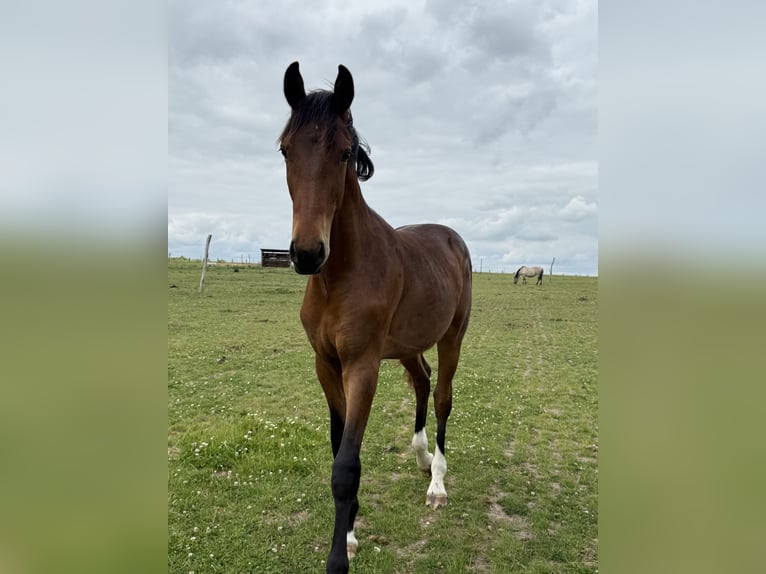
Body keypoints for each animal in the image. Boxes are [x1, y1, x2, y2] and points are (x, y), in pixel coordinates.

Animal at [278, 62, 472, 574]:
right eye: (285, 149)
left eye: (345, 152)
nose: (307, 253)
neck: (340, 274)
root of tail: (451, 238)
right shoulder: (326, 365)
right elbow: (338, 445)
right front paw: (348, 532)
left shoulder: (362, 366)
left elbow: (346, 464)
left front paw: (337, 556)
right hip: (406, 346)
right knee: (422, 380)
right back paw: (421, 458)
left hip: (452, 337)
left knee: (442, 396)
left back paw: (437, 483)